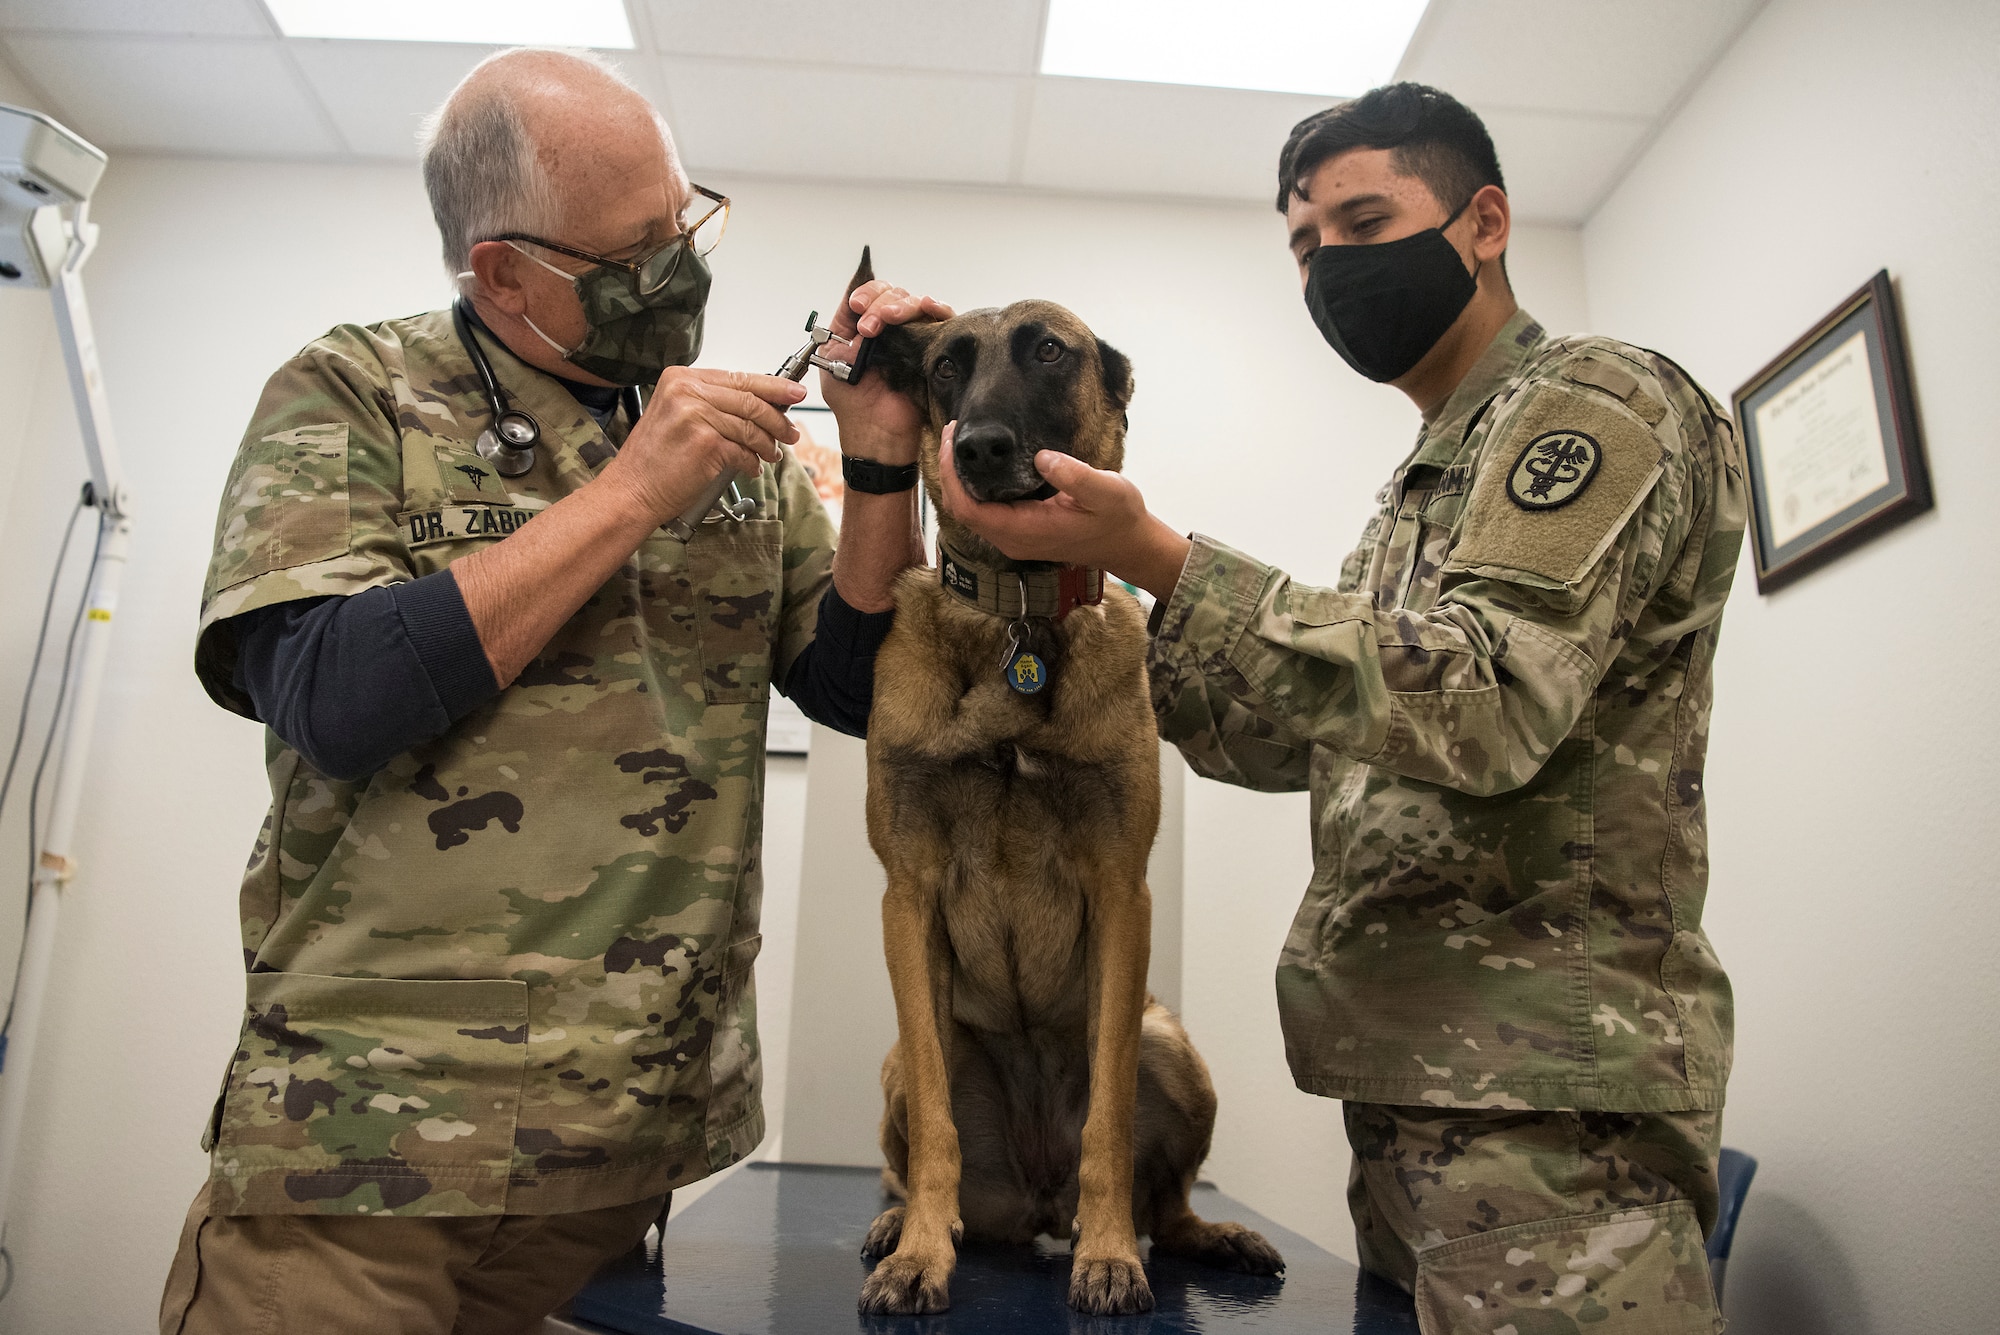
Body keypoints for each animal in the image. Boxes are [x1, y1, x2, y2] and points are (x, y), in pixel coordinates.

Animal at [860, 299, 1280, 1311]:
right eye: (944, 365)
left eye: (1049, 349)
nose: (978, 447)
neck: (1018, 612)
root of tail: (1036, 1199)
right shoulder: (907, 897)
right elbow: (937, 1122)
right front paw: (922, 1252)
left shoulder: (1122, 894)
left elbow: (1110, 1122)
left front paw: (1110, 1253)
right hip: (903, 1058)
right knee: (913, 1144)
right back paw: (900, 1221)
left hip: (1174, 1046)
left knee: (1167, 1199)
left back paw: (1199, 1234)